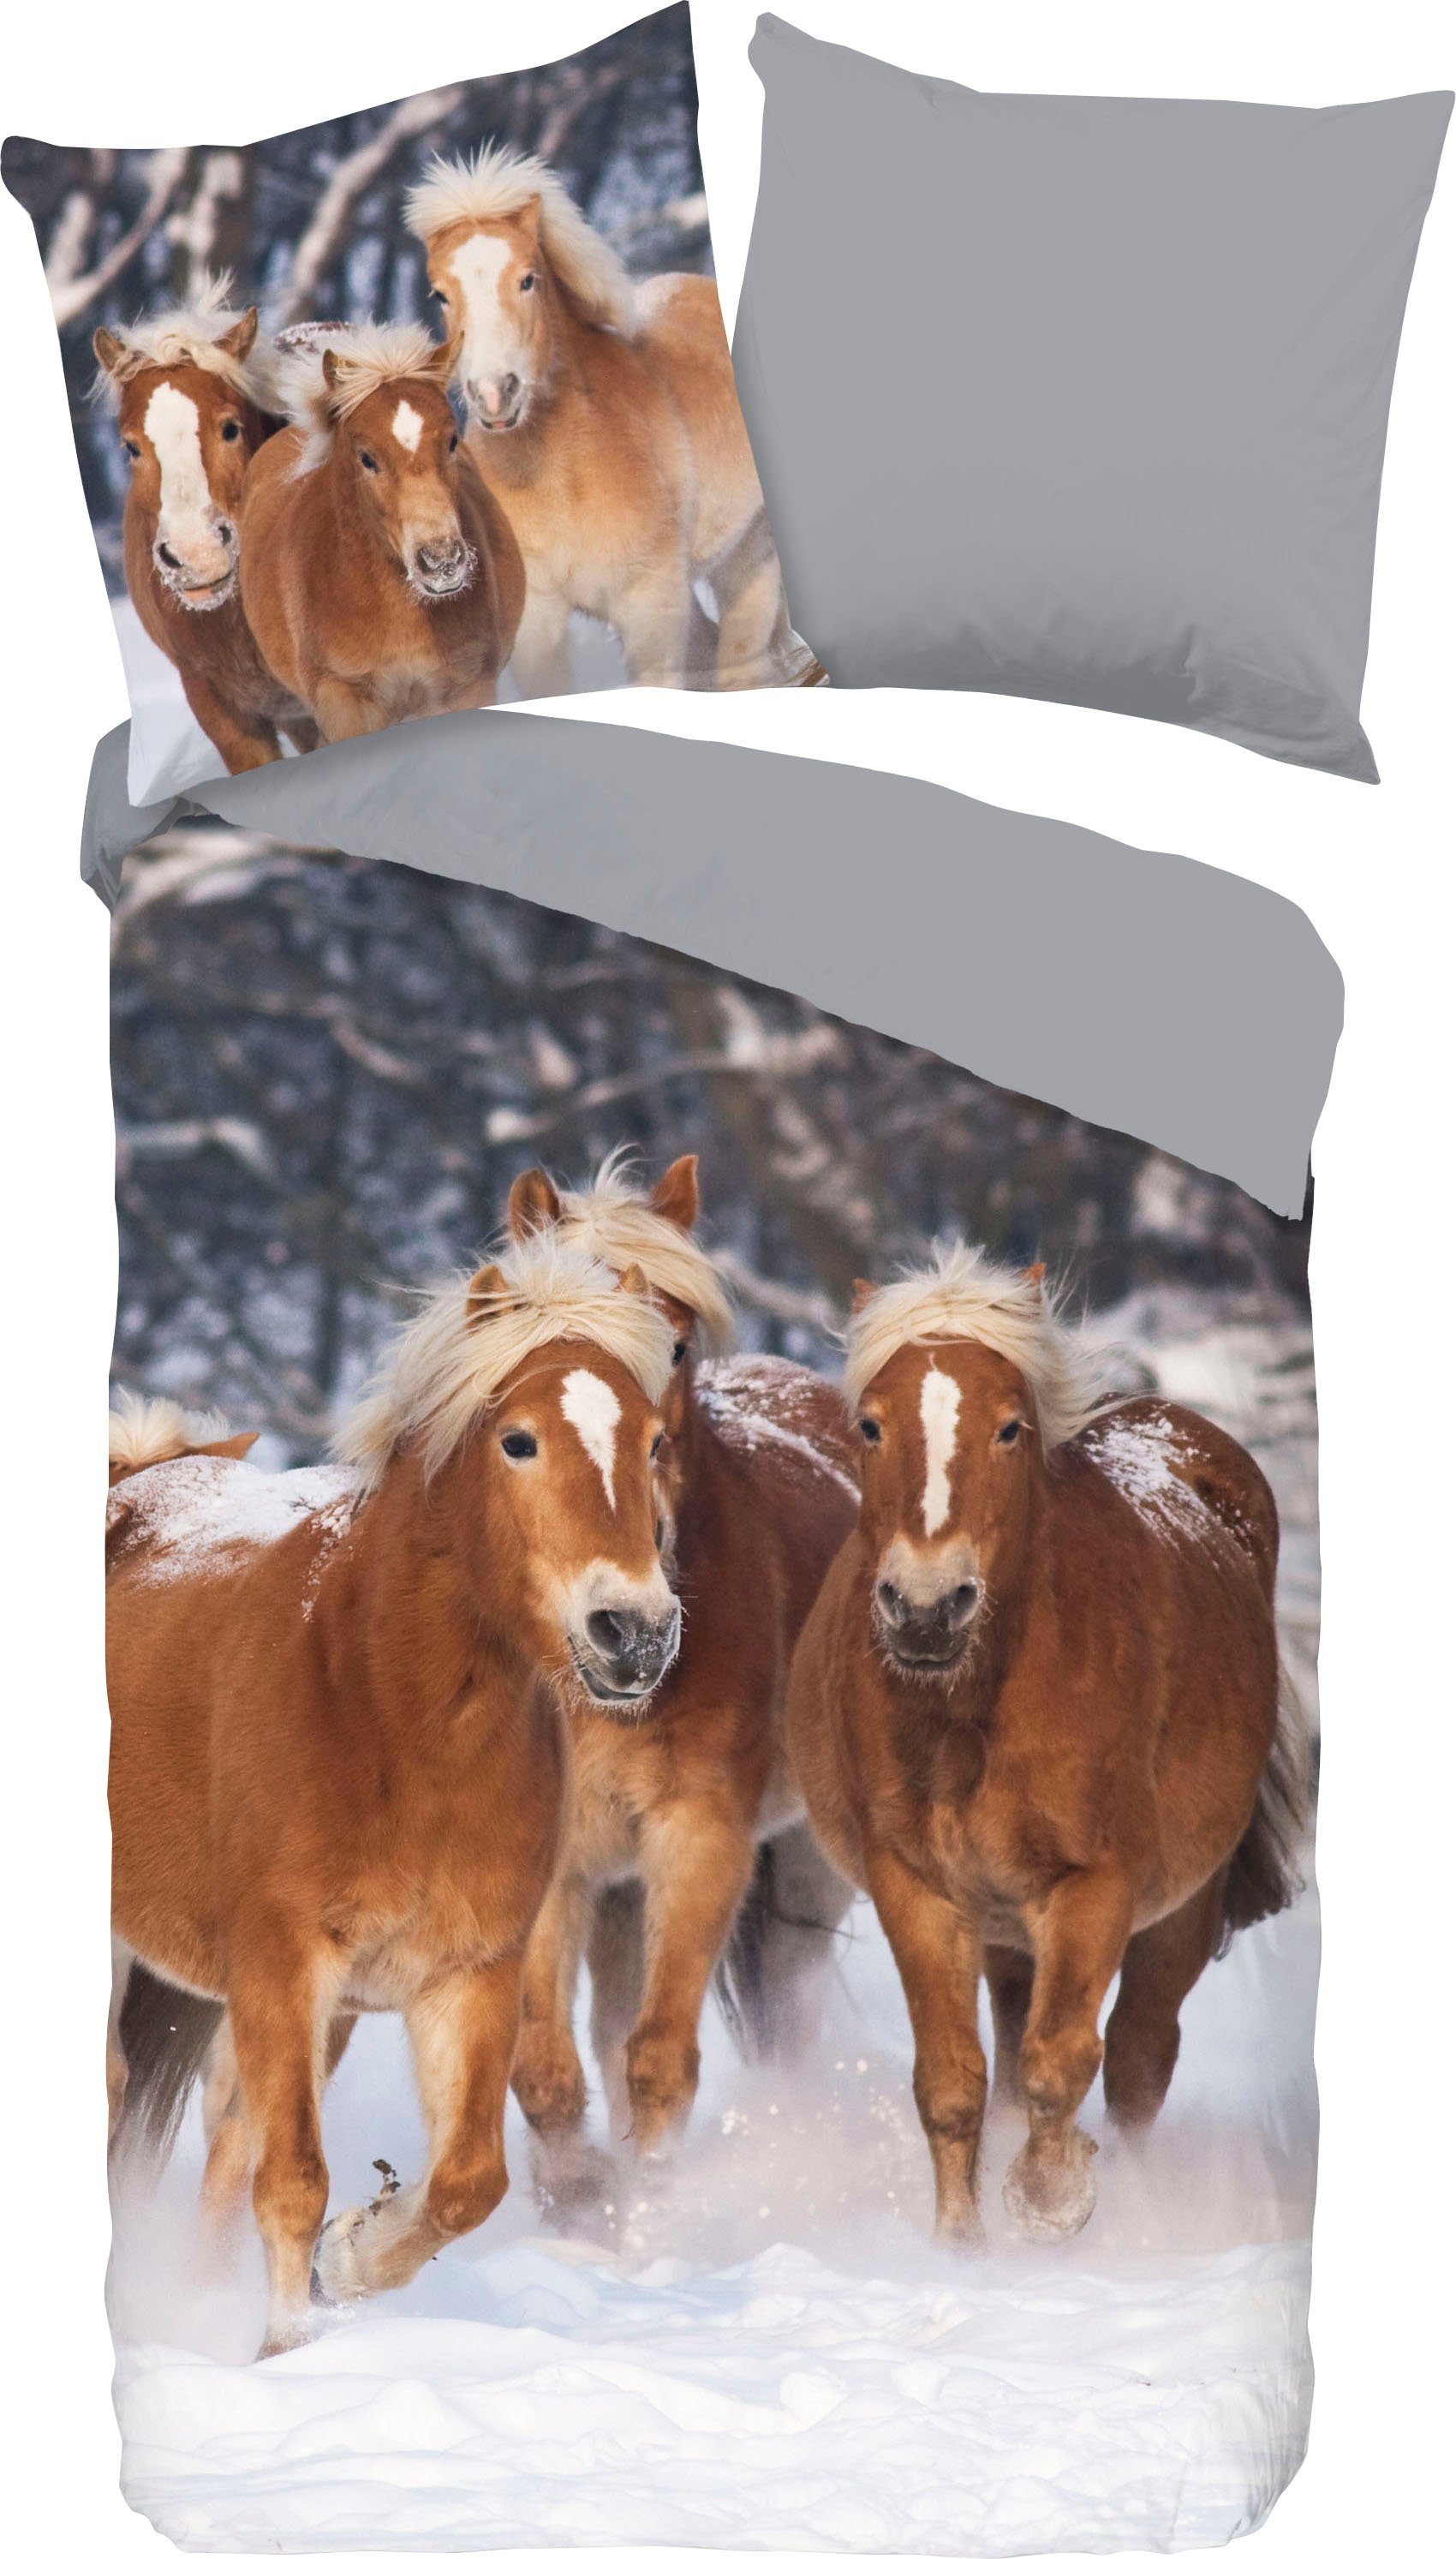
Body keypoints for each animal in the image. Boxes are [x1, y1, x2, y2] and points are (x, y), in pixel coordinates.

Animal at [107, 1237, 677, 2356]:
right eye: (517, 1440)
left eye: (654, 1440)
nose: (633, 1630)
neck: (386, 1712)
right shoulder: (284, 1963)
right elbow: (292, 2176)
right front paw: (291, 2343)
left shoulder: (462, 1975)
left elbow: (465, 2182)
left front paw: (351, 2258)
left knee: (222, 2142)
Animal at [406, 147, 812, 695]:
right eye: (440, 295)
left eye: (527, 279)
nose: (494, 394)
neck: (564, 476)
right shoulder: (538, 620)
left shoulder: (650, 602)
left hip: (748, 557)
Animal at [500, 1151, 859, 2205]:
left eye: (677, 1344)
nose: (634, 1623)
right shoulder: (561, 1864)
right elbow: (547, 2068)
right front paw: (579, 2198)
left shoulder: (700, 1839)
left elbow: (658, 2061)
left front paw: (650, 2208)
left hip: (806, 1869)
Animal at [787, 1243, 1306, 2249]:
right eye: (869, 1424)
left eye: (1008, 1429)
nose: (924, 1606)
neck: (975, 1713)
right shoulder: (917, 1887)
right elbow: (953, 2081)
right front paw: (962, 2247)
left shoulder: (1095, 1884)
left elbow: (1061, 2061)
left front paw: (1051, 2198)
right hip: (1006, 1928)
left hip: (1180, 1908)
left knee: (1139, 2057)